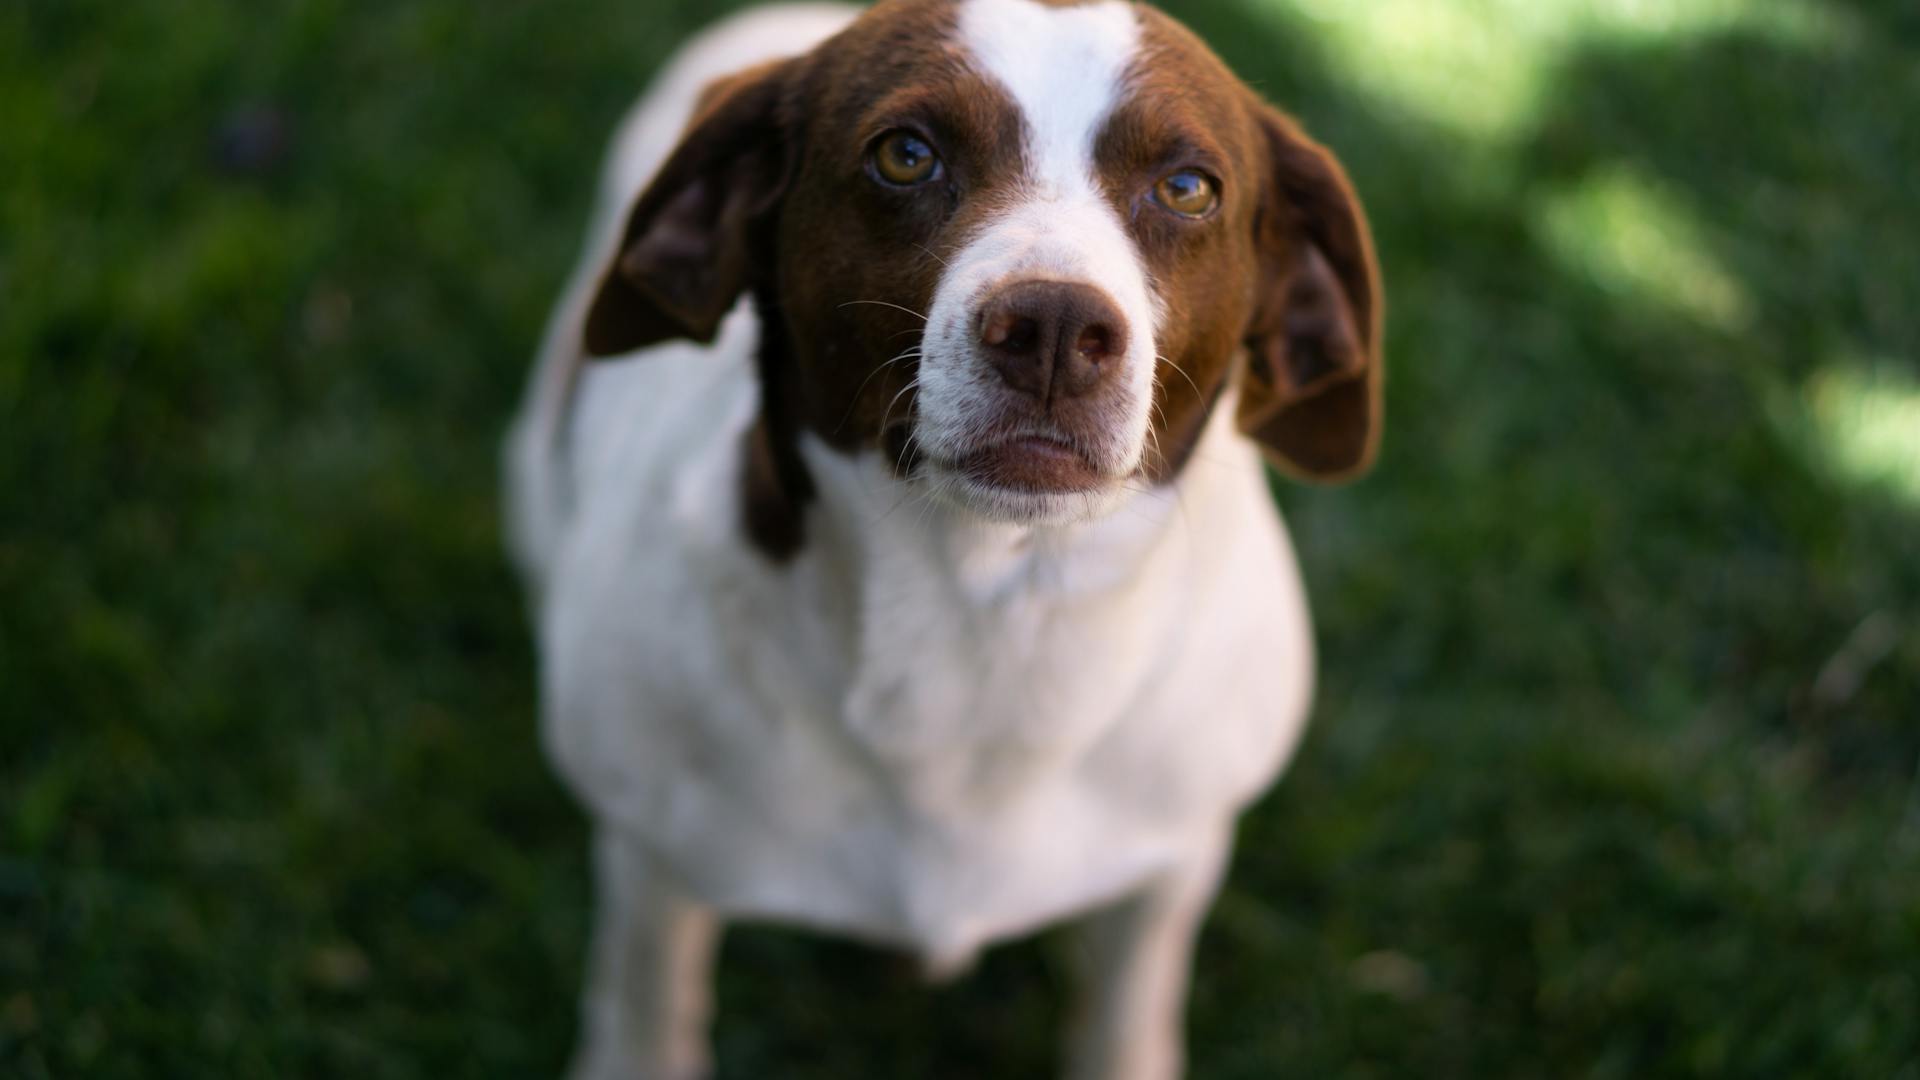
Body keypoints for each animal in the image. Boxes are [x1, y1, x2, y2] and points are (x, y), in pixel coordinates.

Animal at [506, 4, 1382, 1068]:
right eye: (906, 154)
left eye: (1188, 188)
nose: (1054, 329)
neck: (983, 626)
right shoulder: (654, 865)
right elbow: (648, 1016)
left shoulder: (1171, 862)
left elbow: (1124, 1016)